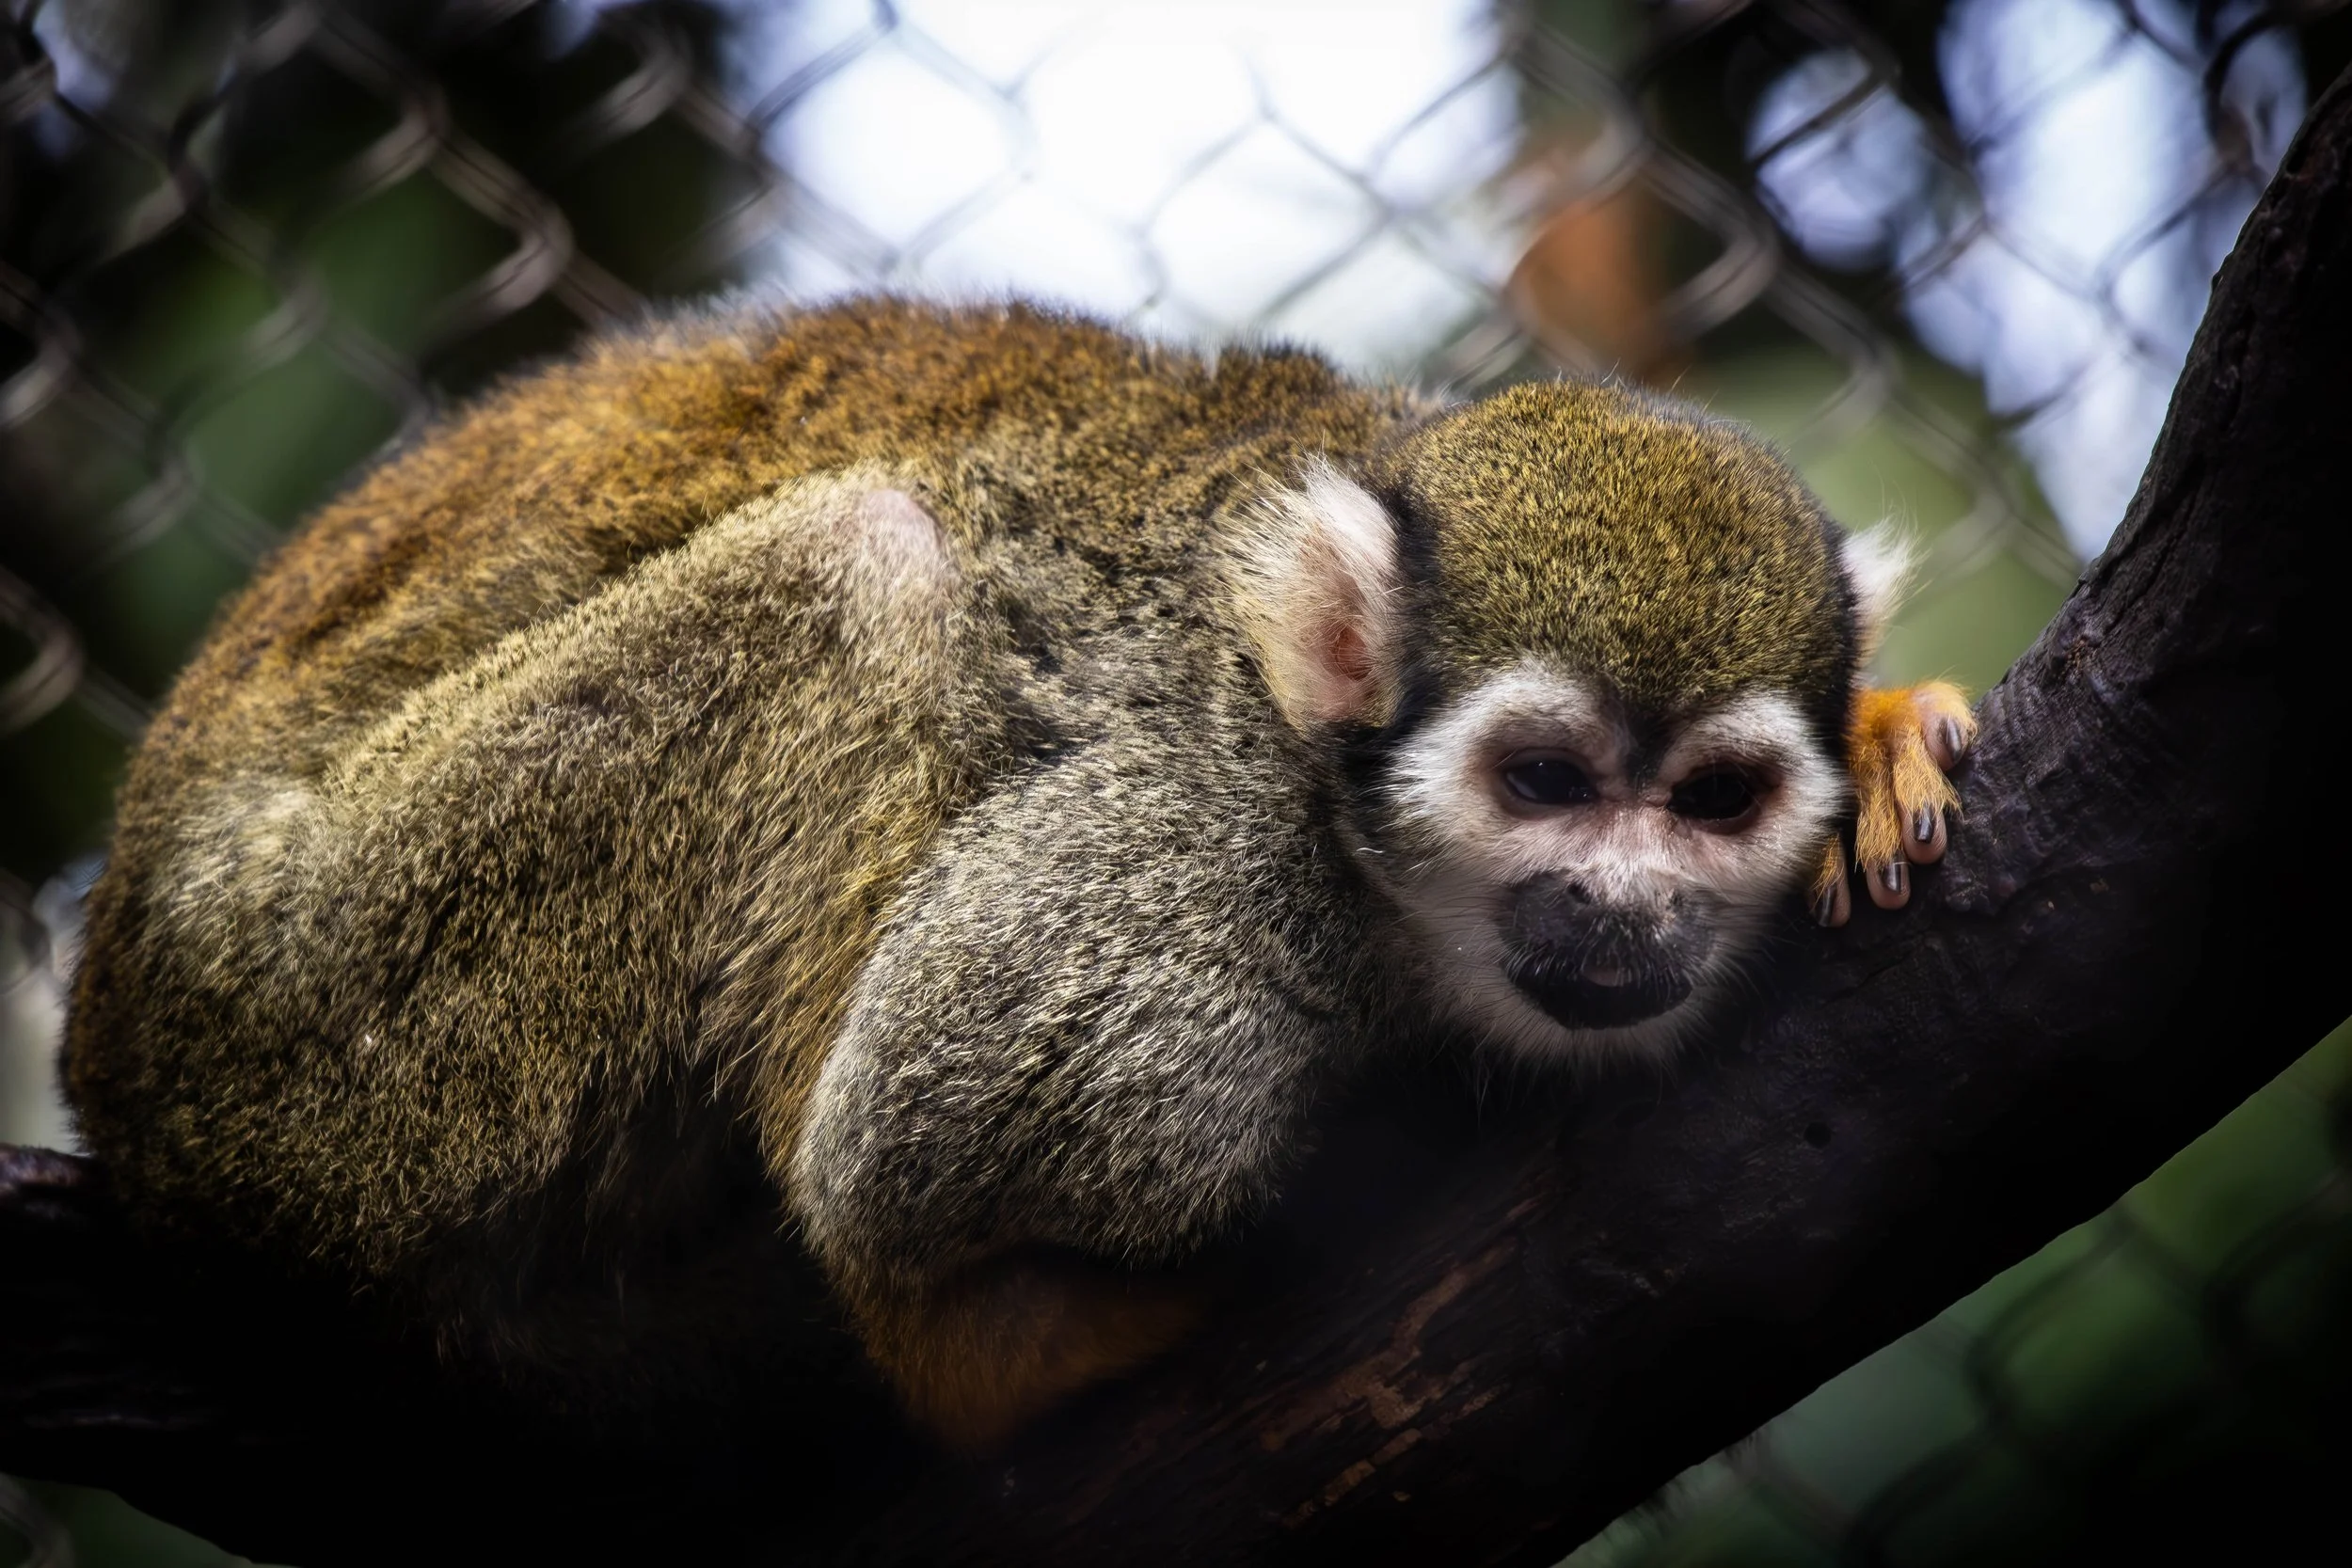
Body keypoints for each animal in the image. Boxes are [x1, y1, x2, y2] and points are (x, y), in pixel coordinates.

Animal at [59, 297, 1972, 1449]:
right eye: (1547, 782)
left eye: (1716, 800)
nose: (1630, 910)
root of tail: (116, 1065)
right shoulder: (1187, 884)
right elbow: (899, 1153)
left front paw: (1885, 734)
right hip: (318, 1000)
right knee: (863, 568)